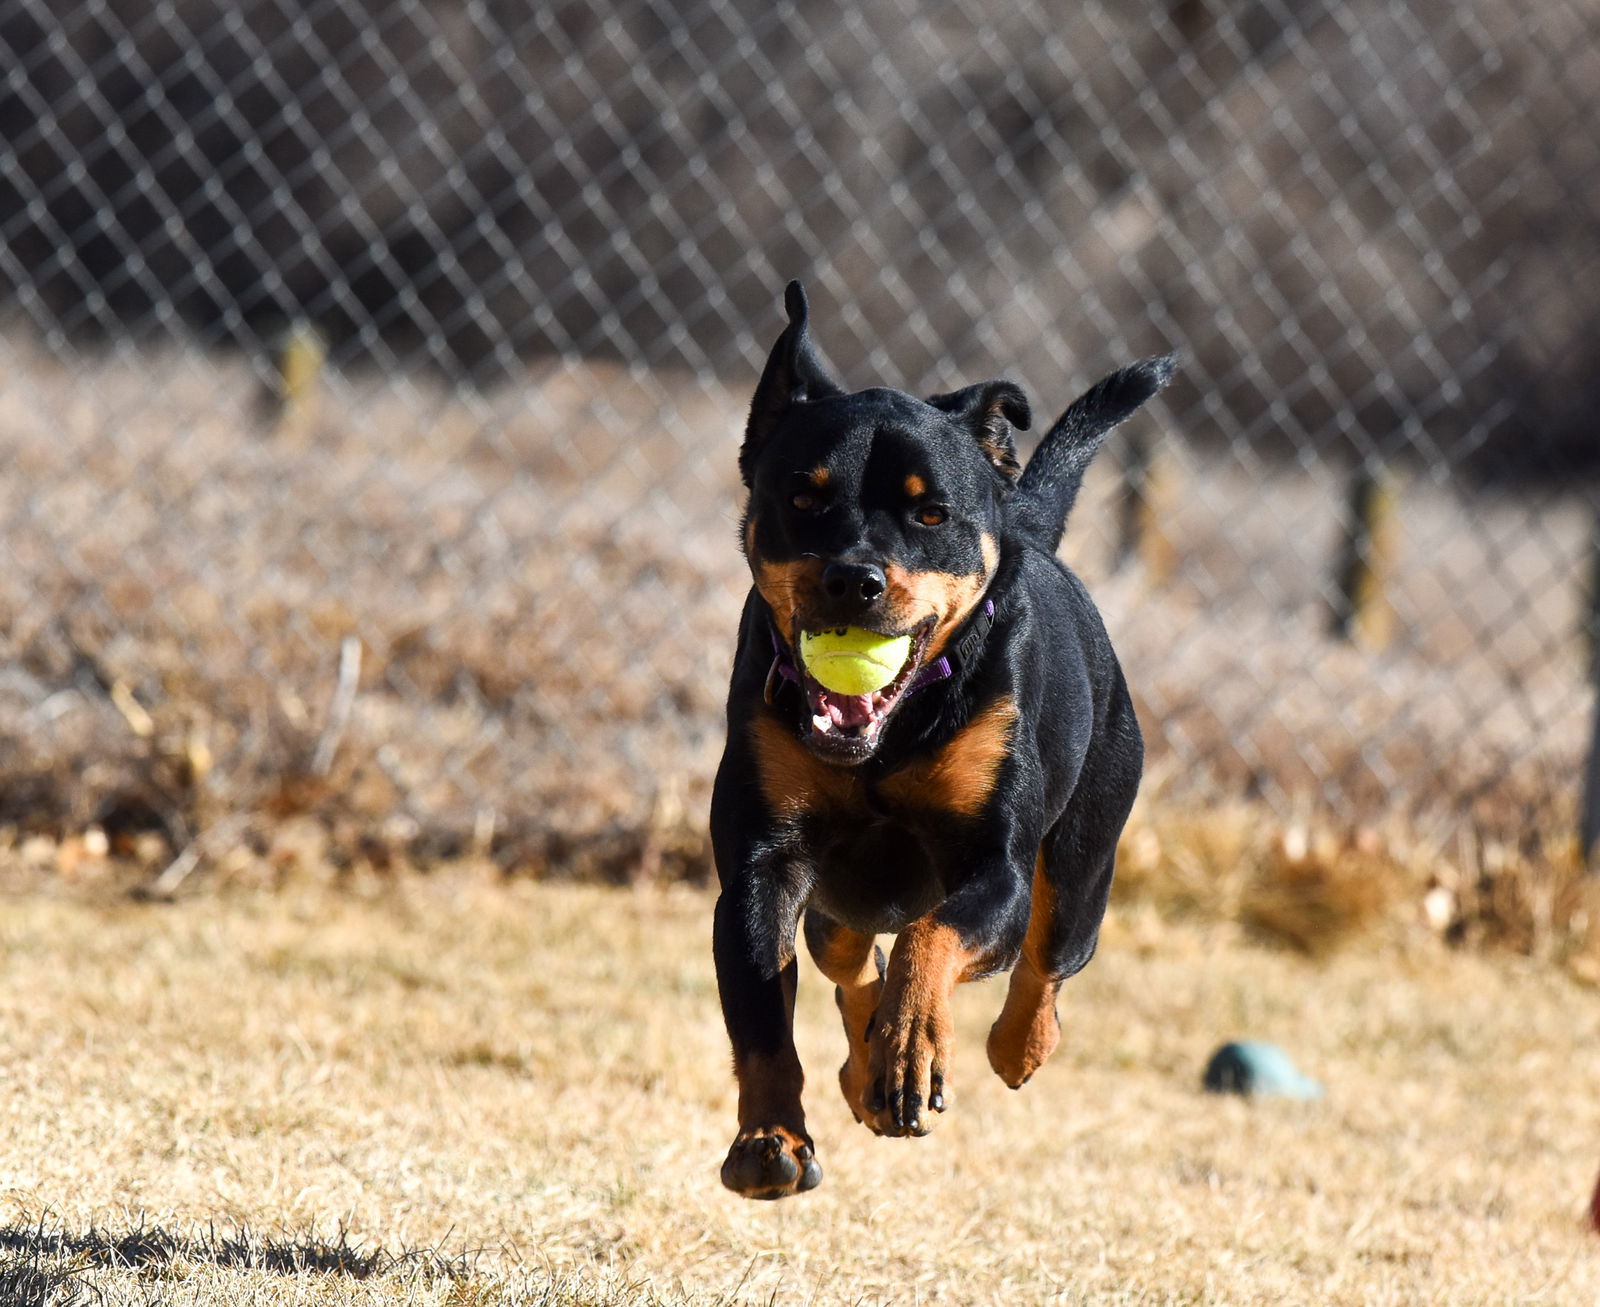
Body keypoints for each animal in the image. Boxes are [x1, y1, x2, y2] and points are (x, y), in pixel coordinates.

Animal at [707, 279, 1171, 1196]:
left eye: (931, 513)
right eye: (802, 499)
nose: (854, 577)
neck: (889, 735)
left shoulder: (995, 862)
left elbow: (937, 935)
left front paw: (913, 1045)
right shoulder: (761, 859)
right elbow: (762, 1016)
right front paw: (770, 1140)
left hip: (1085, 862)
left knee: (1045, 958)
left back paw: (1014, 1045)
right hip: (838, 899)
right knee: (848, 957)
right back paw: (863, 1070)